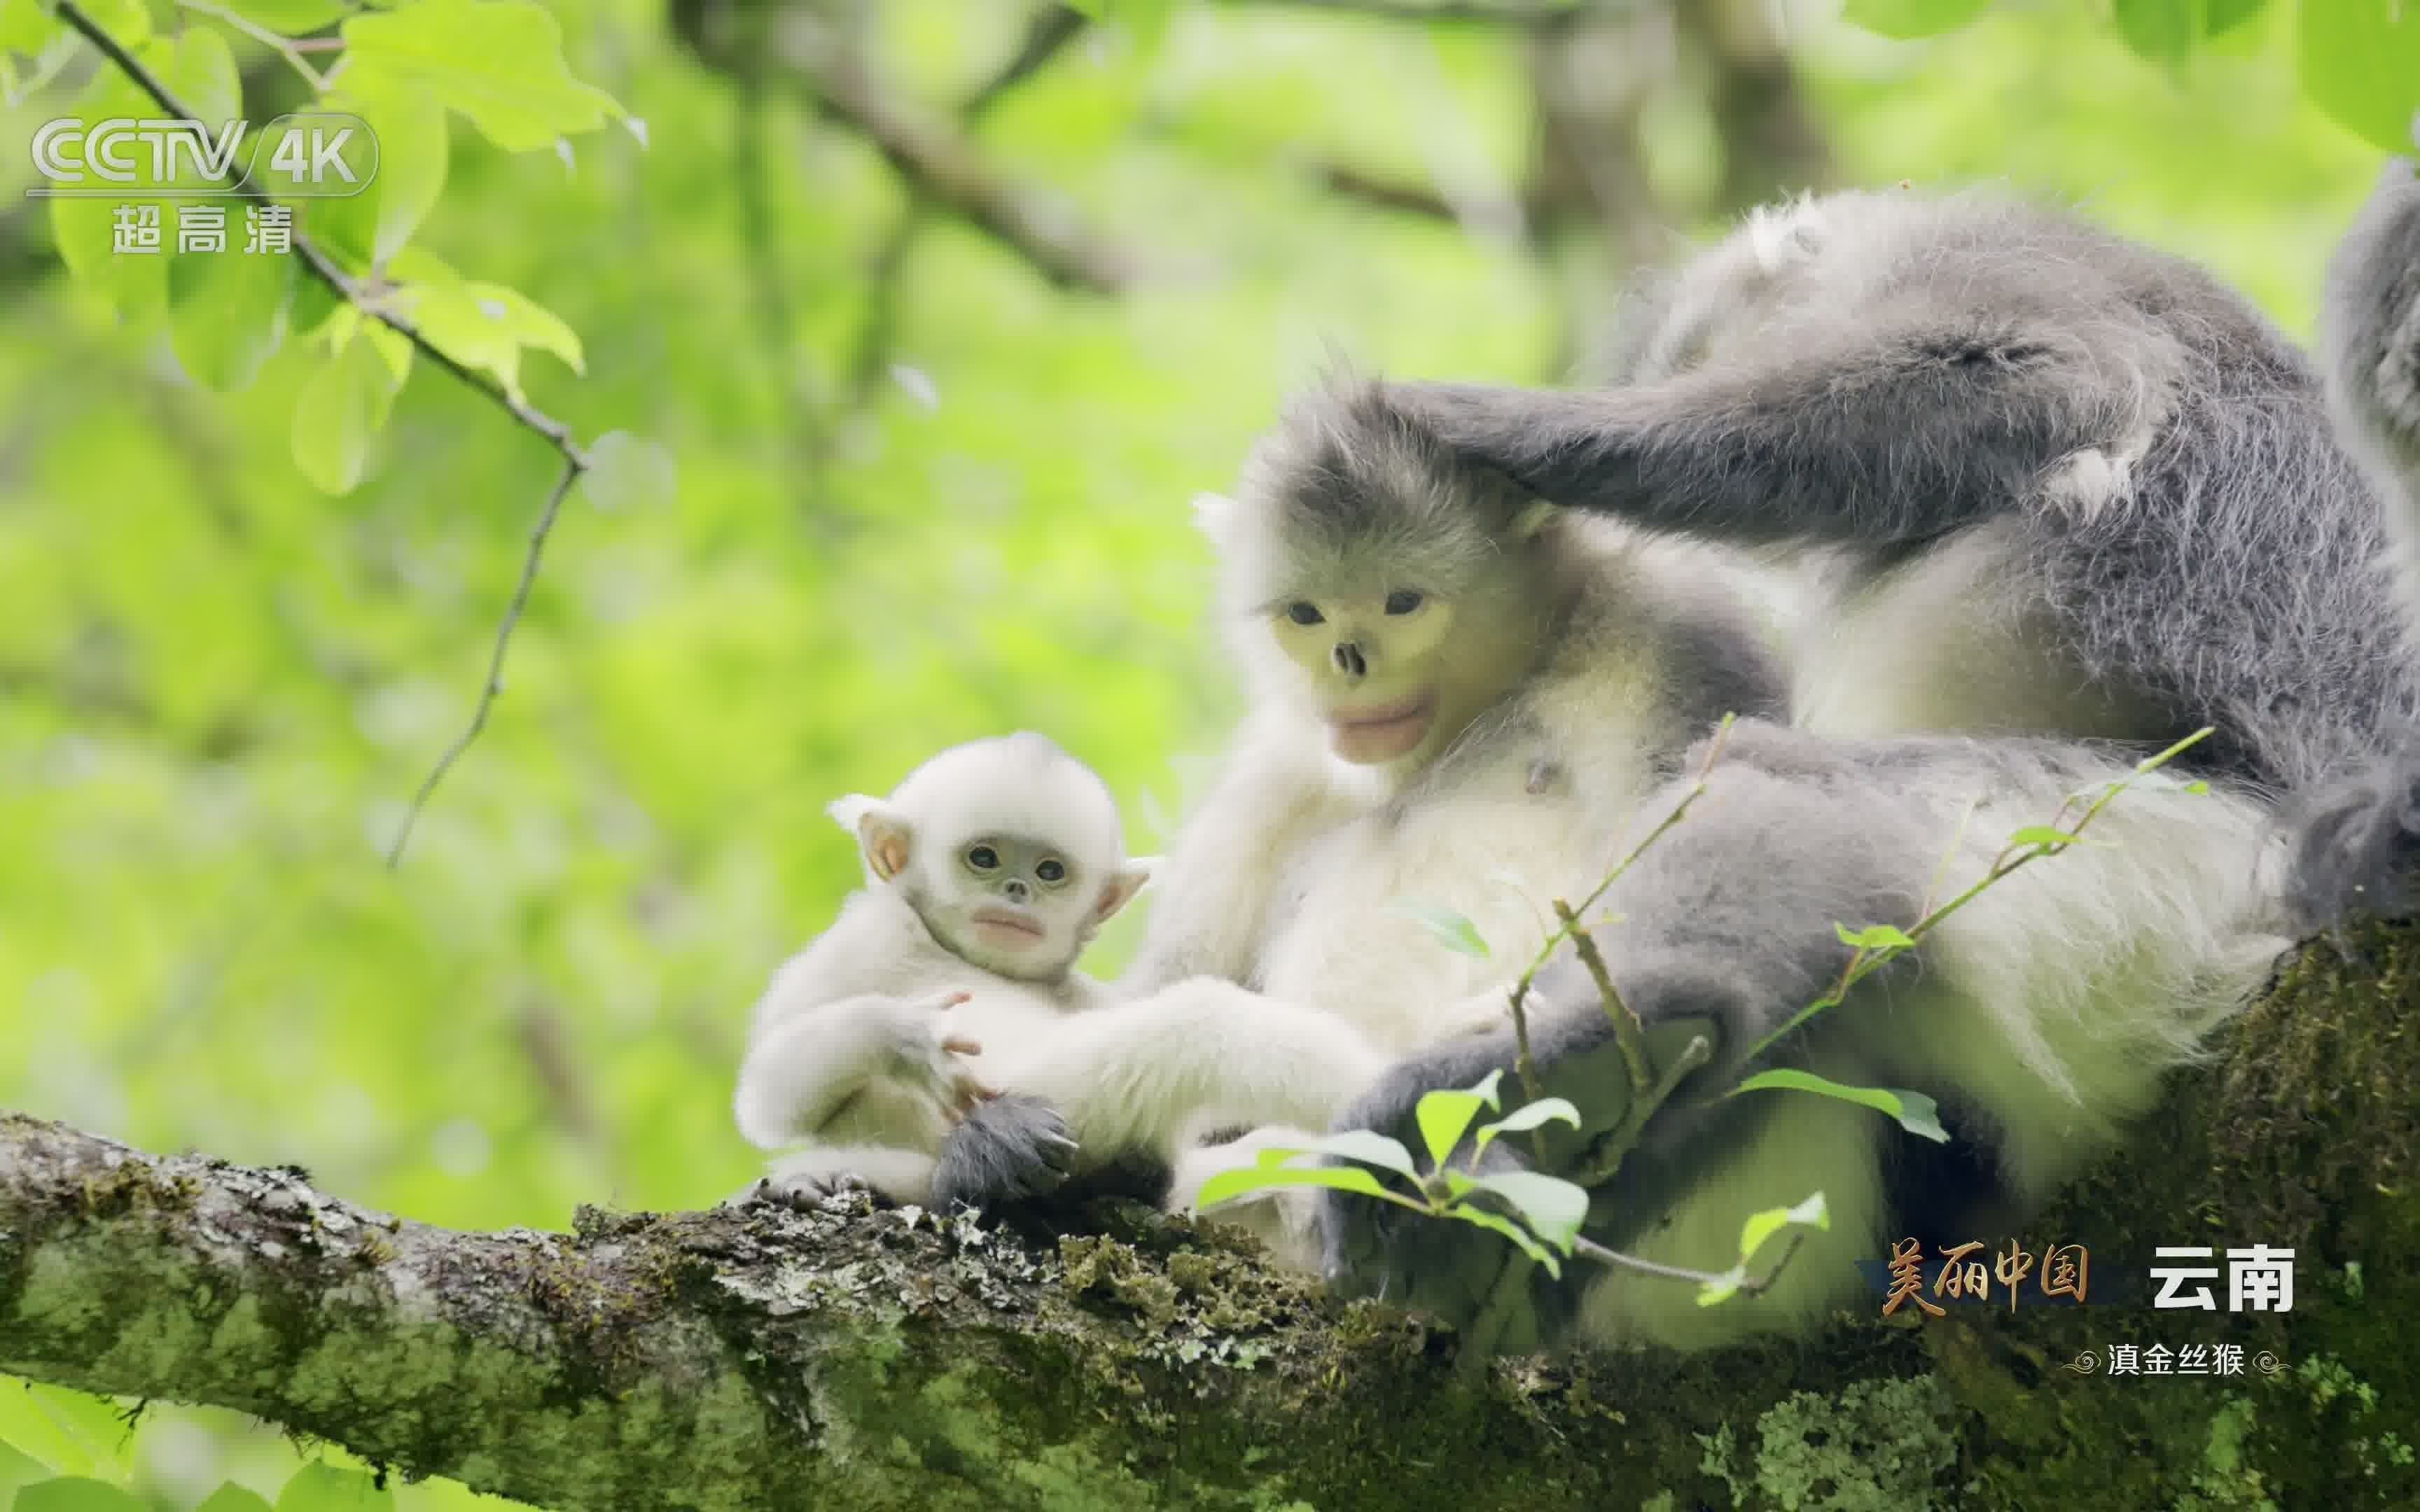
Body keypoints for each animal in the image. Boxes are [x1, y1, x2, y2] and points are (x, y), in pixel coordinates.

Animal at [725, 730, 1152, 1205]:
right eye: (983, 858)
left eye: (1050, 871)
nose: (1017, 889)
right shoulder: (863, 939)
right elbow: (771, 1089)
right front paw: (913, 1035)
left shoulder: (1088, 995)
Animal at [1316, 170, 2410, 1354]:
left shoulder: (2012, 268)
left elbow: (2030, 370)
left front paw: (1488, 421)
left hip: (2170, 876)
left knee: (1792, 797)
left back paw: (1634, 1026)